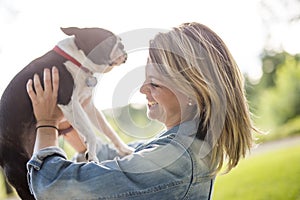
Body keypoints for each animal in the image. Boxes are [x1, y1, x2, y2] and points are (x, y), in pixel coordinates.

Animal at [0, 27, 131, 199]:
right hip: (18, 170)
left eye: (119, 40)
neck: (76, 60)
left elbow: (108, 129)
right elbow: (91, 133)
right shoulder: (70, 104)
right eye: (109, 41)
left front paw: (125, 150)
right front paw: (93, 156)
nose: (122, 45)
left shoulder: (87, 105)